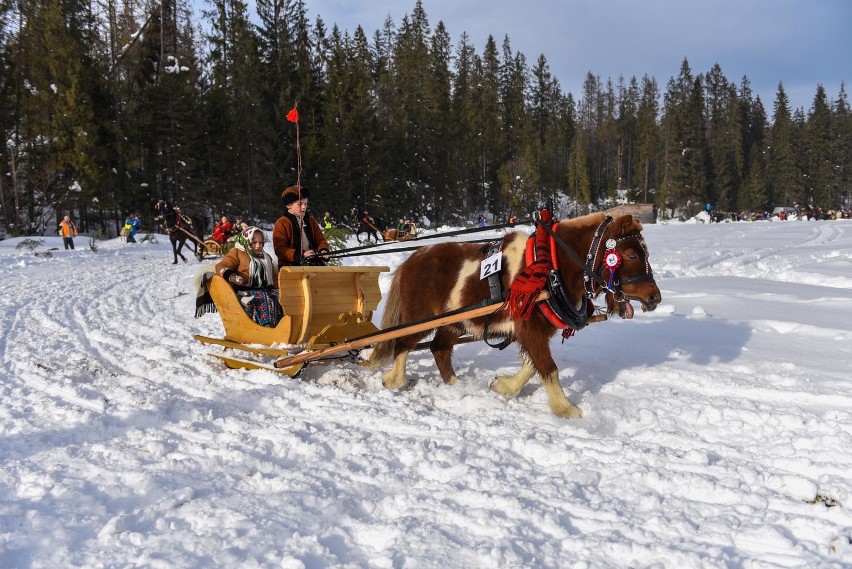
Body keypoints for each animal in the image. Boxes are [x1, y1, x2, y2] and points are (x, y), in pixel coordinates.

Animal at [370, 211, 664, 420]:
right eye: (630, 255)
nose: (655, 298)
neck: (552, 266)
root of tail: (411, 260)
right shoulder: (530, 328)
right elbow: (548, 367)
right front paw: (566, 409)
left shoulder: (532, 330)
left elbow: (533, 366)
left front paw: (504, 386)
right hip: (420, 318)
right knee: (403, 344)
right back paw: (394, 380)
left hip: (453, 322)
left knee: (439, 348)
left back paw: (455, 385)